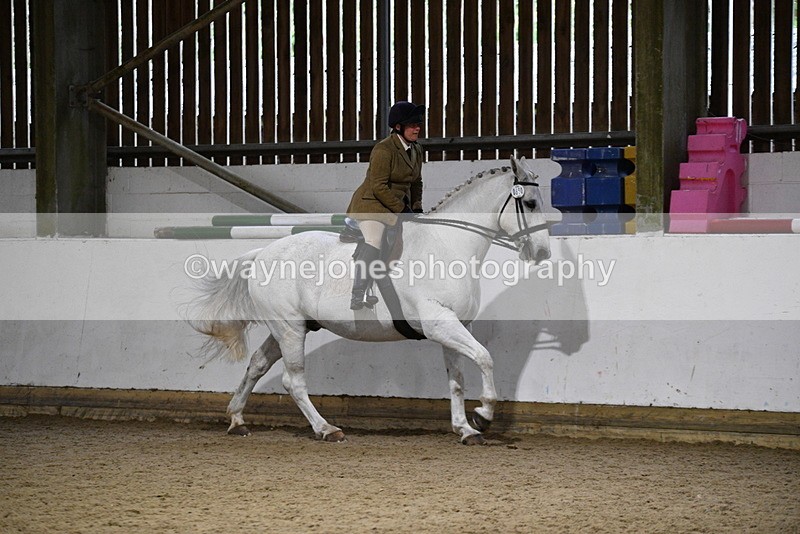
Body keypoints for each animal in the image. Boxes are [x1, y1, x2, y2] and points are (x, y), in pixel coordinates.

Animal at [190, 156, 551, 445]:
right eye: (531, 204)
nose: (543, 253)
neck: (447, 245)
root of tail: (263, 252)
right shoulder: (439, 324)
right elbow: (486, 358)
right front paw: (484, 415)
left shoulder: (454, 326)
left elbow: (458, 380)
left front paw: (465, 428)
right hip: (289, 327)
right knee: (293, 380)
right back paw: (326, 429)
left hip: (290, 326)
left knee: (257, 365)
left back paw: (237, 420)